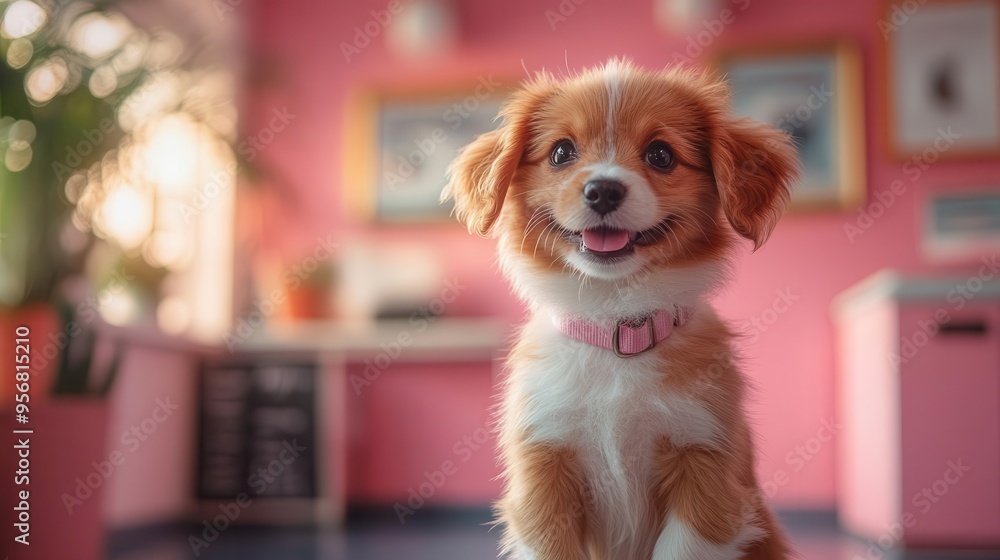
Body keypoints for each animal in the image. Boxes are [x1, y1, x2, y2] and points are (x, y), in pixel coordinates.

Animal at [442, 59, 800, 556]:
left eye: (661, 155)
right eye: (561, 152)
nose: (603, 190)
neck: (615, 322)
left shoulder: (705, 472)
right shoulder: (544, 471)